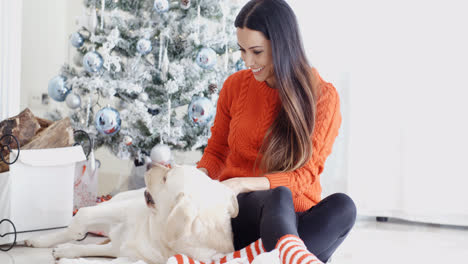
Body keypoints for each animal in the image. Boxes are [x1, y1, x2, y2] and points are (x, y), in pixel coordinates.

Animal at [23, 164, 239, 262]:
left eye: (166, 178)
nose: (149, 163)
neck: (156, 232)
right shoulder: (122, 210)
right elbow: (83, 214)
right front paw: (74, 231)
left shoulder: (124, 253)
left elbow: (90, 250)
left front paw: (69, 252)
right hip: (116, 204)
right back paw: (39, 239)